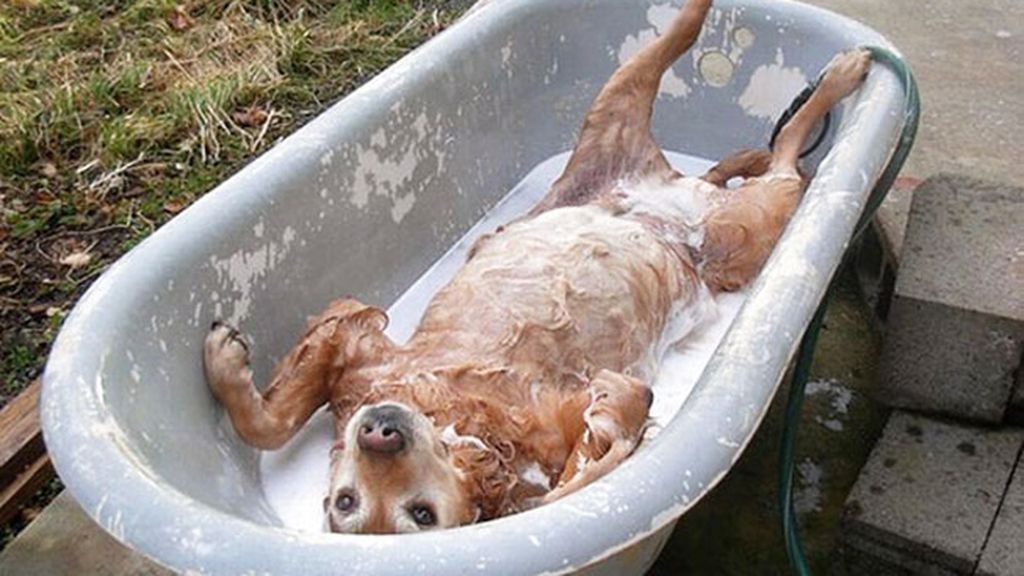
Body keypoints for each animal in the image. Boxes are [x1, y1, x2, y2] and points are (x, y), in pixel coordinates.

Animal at [201, 0, 872, 532]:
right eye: (349, 502)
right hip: (728, 220)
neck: (451, 410)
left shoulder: (356, 353)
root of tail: (664, 196)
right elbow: (270, 426)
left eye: (419, 512)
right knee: (777, 159)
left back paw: (832, 76)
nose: (378, 432)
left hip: (630, 131)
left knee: (734, 96)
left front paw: (227, 365)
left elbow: (271, 419)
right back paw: (810, 99)